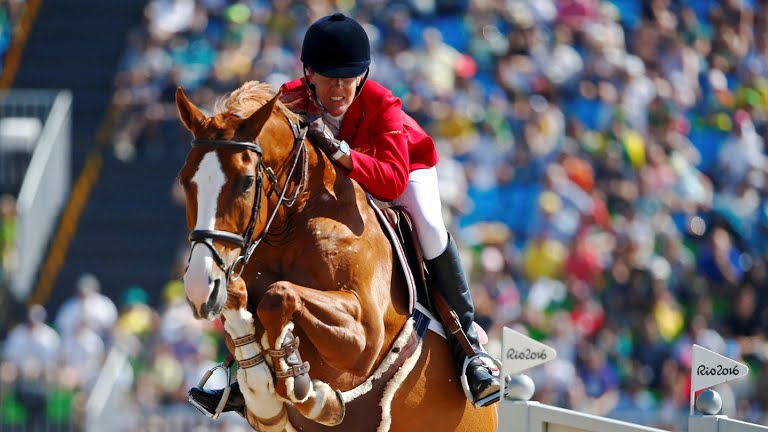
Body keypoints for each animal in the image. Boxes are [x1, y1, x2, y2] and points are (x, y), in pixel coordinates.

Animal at [174, 82, 498, 432]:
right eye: (185, 180)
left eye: (247, 181)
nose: (199, 285)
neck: (291, 223)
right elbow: (243, 309)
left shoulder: (365, 335)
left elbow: (278, 295)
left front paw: (310, 391)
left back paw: (480, 373)